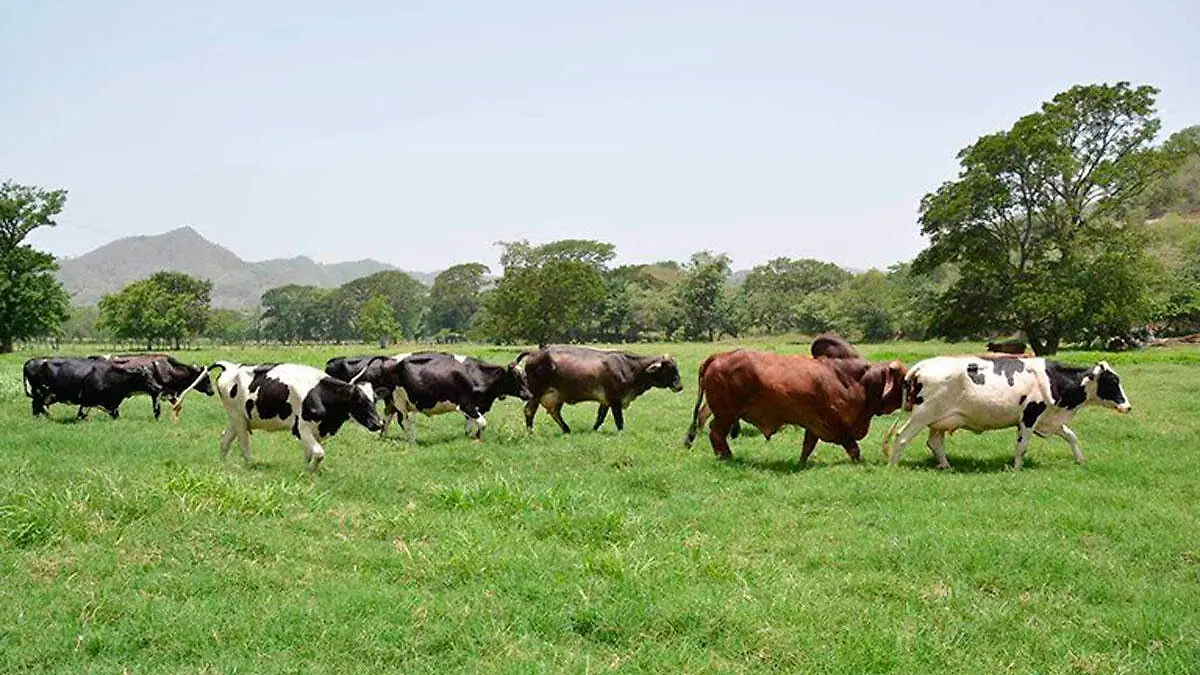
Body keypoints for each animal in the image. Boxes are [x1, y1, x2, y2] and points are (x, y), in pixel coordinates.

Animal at [21, 355, 163, 417]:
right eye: (146, 377)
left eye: (152, 374)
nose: (158, 387)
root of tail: (30, 361)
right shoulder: (86, 399)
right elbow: (81, 414)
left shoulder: (112, 404)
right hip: (39, 392)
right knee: (37, 406)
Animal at [384, 353, 535, 441]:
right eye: (514, 376)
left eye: (524, 375)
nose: (528, 394)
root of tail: (393, 361)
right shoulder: (465, 404)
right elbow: (482, 423)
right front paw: (478, 439)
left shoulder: (475, 407)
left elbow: (469, 425)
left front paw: (470, 438)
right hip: (400, 401)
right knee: (404, 421)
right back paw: (411, 441)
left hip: (397, 403)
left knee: (391, 417)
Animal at [518, 343, 681, 432]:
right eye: (669, 369)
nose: (679, 386)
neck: (629, 366)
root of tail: (534, 352)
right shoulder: (615, 400)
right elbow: (619, 420)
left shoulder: (605, 401)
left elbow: (600, 417)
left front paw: (593, 430)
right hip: (535, 393)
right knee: (529, 411)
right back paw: (531, 432)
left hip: (554, 396)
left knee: (554, 412)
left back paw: (566, 429)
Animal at [681, 333, 902, 458]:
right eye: (903, 381)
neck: (853, 380)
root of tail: (719, 356)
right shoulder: (836, 425)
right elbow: (854, 449)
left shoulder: (814, 425)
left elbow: (807, 448)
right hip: (726, 414)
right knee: (715, 432)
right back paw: (726, 456)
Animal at [888, 355, 1128, 470]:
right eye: (1112, 381)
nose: (1127, 406)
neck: (1054, 380)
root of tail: (919, 367)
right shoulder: (1029, 416)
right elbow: (1022, 446)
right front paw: (1016, 468)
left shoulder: (1049, 419)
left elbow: (1071, 436)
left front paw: (1080, 461)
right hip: (923, 414)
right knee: (902, 437)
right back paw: (893, 466)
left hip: (940, 420)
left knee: (935, 443)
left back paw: (946, 466)